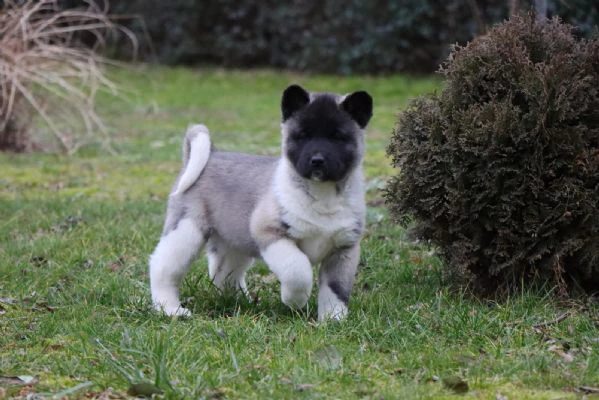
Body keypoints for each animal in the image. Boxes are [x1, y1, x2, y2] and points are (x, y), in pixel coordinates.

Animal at [150, 83, 372, 318]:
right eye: (302, 135)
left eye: (338, 137)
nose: (317, 160)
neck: (323, 194)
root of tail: (210, 155)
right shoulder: (271, 234)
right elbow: (298, 269)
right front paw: (295, 301)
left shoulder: (343, 251)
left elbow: (336, 290)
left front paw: (333, 319)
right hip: (186, 229)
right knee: (162, 267)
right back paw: (170, 309)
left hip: (233, 241)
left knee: (225, 273)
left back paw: (239, 301)